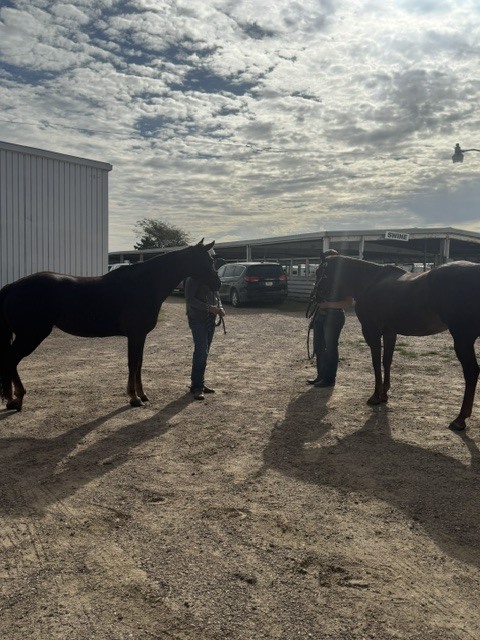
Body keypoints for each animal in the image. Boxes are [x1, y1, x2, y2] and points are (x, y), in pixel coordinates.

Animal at [0, 239, 221, 411]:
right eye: (208, 260)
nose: (218, 284)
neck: (145, 284)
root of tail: (13, 286)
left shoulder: (140, 336)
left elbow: (139, 363)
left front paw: (142, 394)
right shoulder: (136, 335)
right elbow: (133, 364)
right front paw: (134, 398)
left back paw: (10, 399)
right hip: (31, 335)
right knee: (11, 360)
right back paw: (17, 399)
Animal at [314, 254, 480, 431]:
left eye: (319, 273)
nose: (317, 298)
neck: (369, 282)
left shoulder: (372, 332)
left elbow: (376, 363)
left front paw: (375, 396)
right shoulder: (389, 333)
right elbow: (386, 361)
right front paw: (384, 394)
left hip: (463, 339)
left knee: (471, 372)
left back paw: (460, 419)